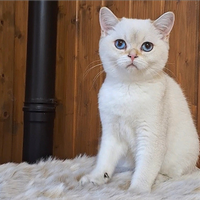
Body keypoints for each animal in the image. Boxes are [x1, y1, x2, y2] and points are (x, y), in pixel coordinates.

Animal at [80, 7, 200, 193]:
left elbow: (145, 168)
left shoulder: (150, 135)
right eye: (120, 44)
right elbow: (105, 159)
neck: (129, 89)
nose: (132, 56)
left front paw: (136, 191)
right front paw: (96, 178)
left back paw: (158, 179)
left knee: (173, 174)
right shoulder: (111, 132)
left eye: (147, 47)